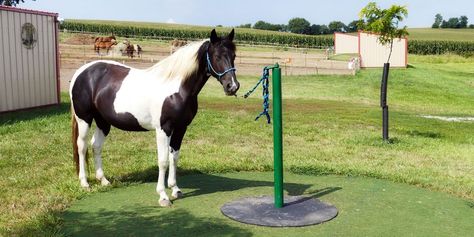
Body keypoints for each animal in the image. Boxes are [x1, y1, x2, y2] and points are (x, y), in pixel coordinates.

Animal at [68, 29, 239, 206]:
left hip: (103, 121)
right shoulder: (163, 129)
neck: (176, 88)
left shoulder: (181, 128)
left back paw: (103, 180)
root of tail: (81, 71)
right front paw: (163, 195)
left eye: (234, 55)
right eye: (217, 56)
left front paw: (175, 189)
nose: (232, 86)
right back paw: (84, 183)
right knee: (82, 146)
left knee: (96, 145)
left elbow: (174, 157)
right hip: (84, 119)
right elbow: (163, 161)